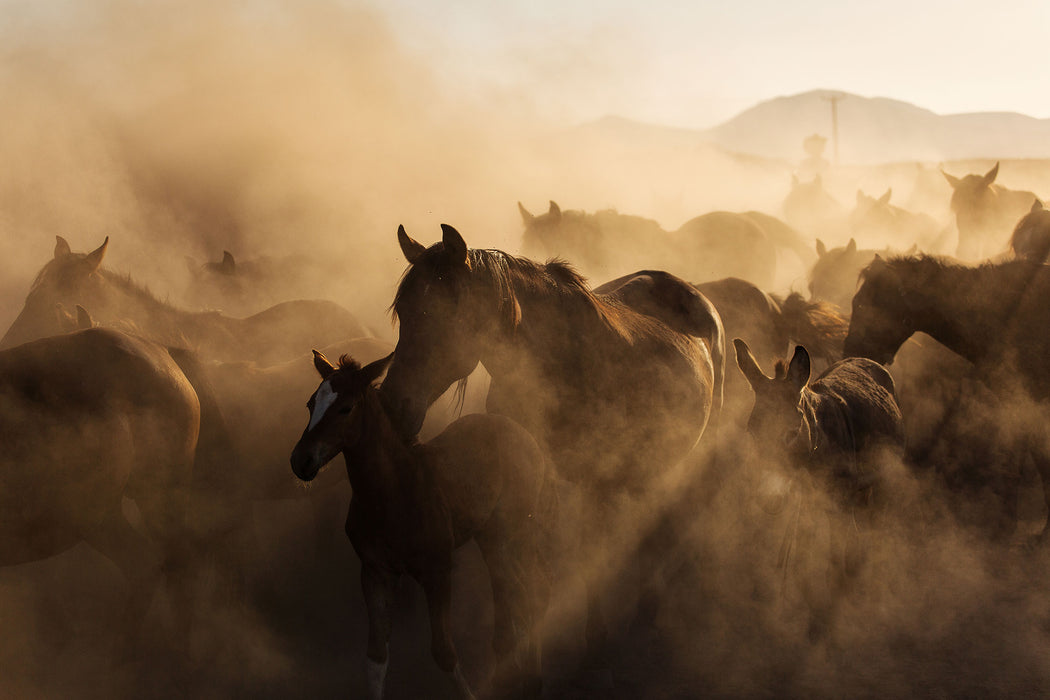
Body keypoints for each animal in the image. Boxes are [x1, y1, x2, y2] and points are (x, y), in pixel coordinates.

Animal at [287, 352, 550, 700]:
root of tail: (520, 431)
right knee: (509, 590)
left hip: (515, 528)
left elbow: (444, 652)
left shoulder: (438, 571)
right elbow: (376, 658)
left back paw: (531, 676)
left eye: (346, 408)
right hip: (489, 535)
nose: (300, 461)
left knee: (531, 590)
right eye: (310, 404)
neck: (393, 491)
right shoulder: (375, 572)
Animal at [382, 225, 726, 659]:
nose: (392, 404)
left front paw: (591, 634)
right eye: (404, 313)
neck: (559, 361)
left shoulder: (590, 479)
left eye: (444, 314)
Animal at [734, 340, 907, 642]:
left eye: (791, 433)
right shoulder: (804, 498)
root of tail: (866, 359)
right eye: (753, 432)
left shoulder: (838, 506)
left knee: (872, 529)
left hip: (878, 484)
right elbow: (800, 552)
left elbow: (834, 560)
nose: (768, 498)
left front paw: (824, 618)